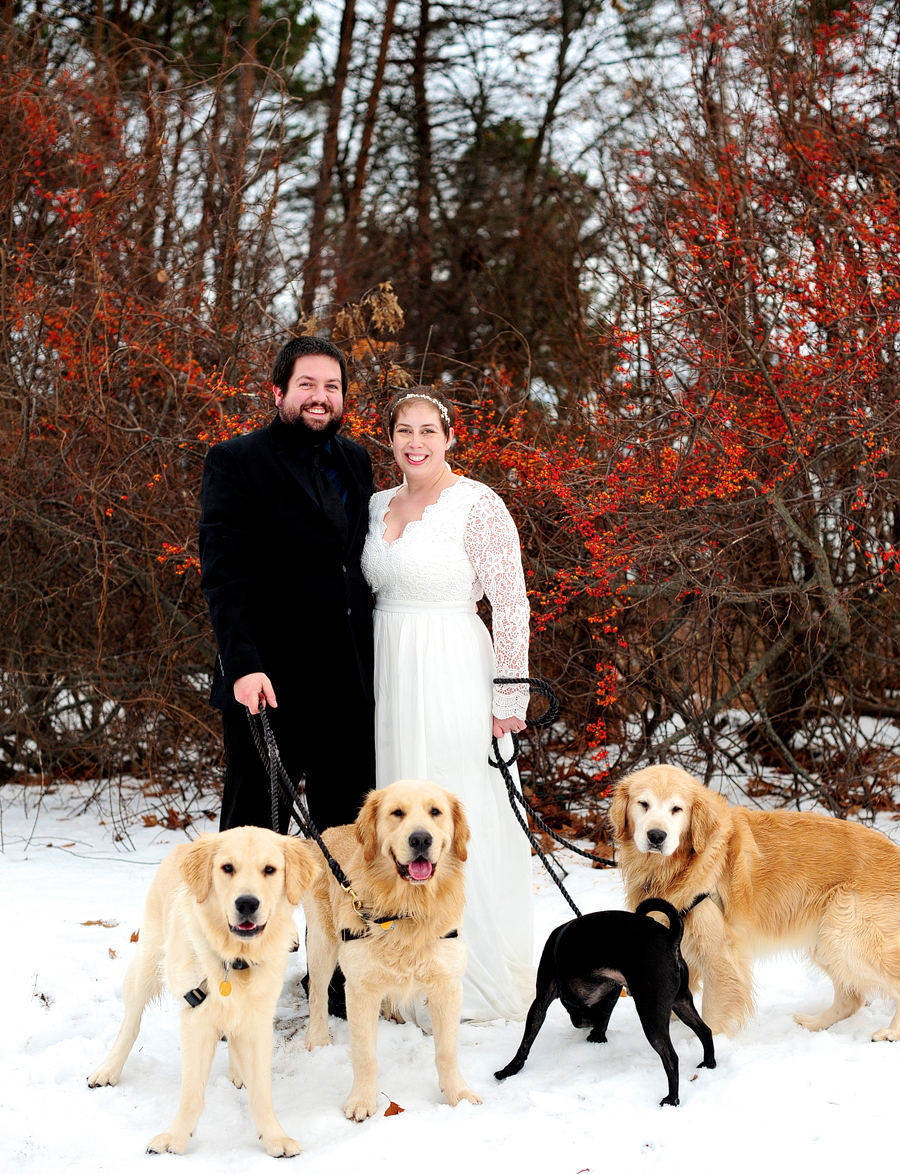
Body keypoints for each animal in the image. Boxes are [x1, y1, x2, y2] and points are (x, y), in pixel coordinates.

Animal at [88, 826, 319, 1155]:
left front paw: (274, 1137)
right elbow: (192, 1093)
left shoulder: (258, 1019)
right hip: (145, 967)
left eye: (270, 870)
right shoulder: (196, 1017)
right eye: (227, 868)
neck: (234, 962)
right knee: (130, 1025)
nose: (247, 904)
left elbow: (262, 1092)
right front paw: (174, 1139)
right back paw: (107, 1070)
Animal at [302, 779, 485, 1117]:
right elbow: (364, 1055)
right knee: (317, 992)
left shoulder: (447, 986)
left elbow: (447, 1052)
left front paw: (458, 1094)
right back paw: (317, 1040)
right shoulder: (359, 989)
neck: (407, 909)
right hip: (322, 943)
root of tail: (327, 833)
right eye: (397, 813)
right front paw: (361, 1101)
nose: (420, 838)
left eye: (435, 812)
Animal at [492, 901, 718, 1103]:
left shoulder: (540, 1001)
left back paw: (672, 1099)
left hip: (651, 1015)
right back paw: (709, 1064)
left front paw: (510, 1069)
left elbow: (527, 1039)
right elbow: (605, 1016)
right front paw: (597, 1037)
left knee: (671, 1058)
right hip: (681, 1003)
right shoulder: (614, 988)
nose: (581, 1024)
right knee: (705, 1031)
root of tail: (671, 938)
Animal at [610, 765, 900, 1042]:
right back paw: (813, 1024)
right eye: (643, 804)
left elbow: (713, 1009)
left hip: (846, 937)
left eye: (676, 809)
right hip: (828, 941)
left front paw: (705, 1044)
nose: (656, 836)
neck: (675, 867)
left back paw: (891, 1033)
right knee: (852, 998)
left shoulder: (720, 950)